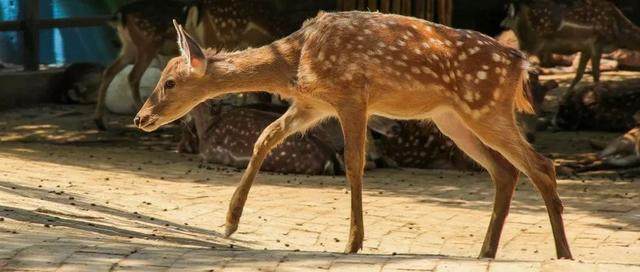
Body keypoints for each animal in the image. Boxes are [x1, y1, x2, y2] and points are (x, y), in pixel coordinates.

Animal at [136, 12, 576, 260]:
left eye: (169, 82)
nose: (141, 118)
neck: (294, 61)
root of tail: (520, 63)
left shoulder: (351, 95)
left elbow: (354, 164)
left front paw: (354, 242)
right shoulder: (312, 105)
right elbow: (264, 137)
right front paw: (229, 223)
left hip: (485, 108)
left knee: (541, 164)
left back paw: (562, 252)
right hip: (452, 117)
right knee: (506, 171)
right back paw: (487, 249)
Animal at [502, 0, 640, 91]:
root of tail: (511, 19)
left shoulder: (586, 48)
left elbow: (579, 75)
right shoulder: (597, 43)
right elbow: (596, 74)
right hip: (533, 43)